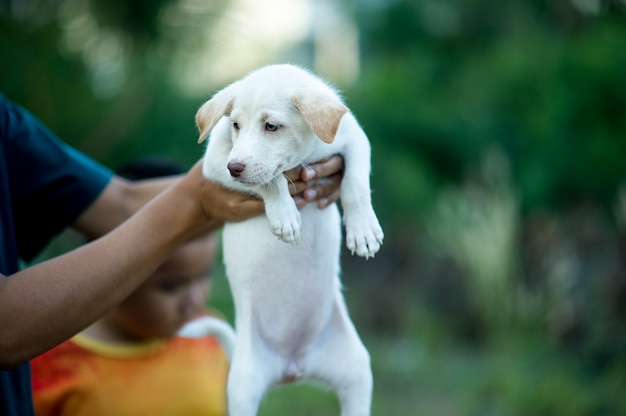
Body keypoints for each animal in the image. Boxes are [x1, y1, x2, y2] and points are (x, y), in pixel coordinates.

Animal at [194, 64, 380, 416]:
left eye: (271, 126)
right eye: (235, 125)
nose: (235, 168)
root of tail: (292, 366)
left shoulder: (355, 139)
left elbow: (356, 182)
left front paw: (363, 229)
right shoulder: (216, 159)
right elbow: (272, 180)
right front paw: (285, 215)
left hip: (357, 374)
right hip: (243, 388)